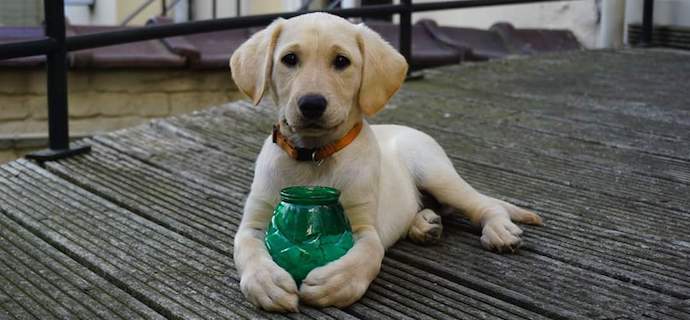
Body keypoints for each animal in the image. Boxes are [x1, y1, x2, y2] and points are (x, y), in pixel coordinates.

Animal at [228, 13, 540, 312]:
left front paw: (336, 282)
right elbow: (246, 248)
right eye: (289, 59)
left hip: (436, 173)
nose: (312, 104)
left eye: (341, 61)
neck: (315, 156)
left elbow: (368, 254)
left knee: (483, 204)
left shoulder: (365, 226)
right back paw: (424, 223)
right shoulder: (253, 222)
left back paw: (499, 230)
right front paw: (266, 282)